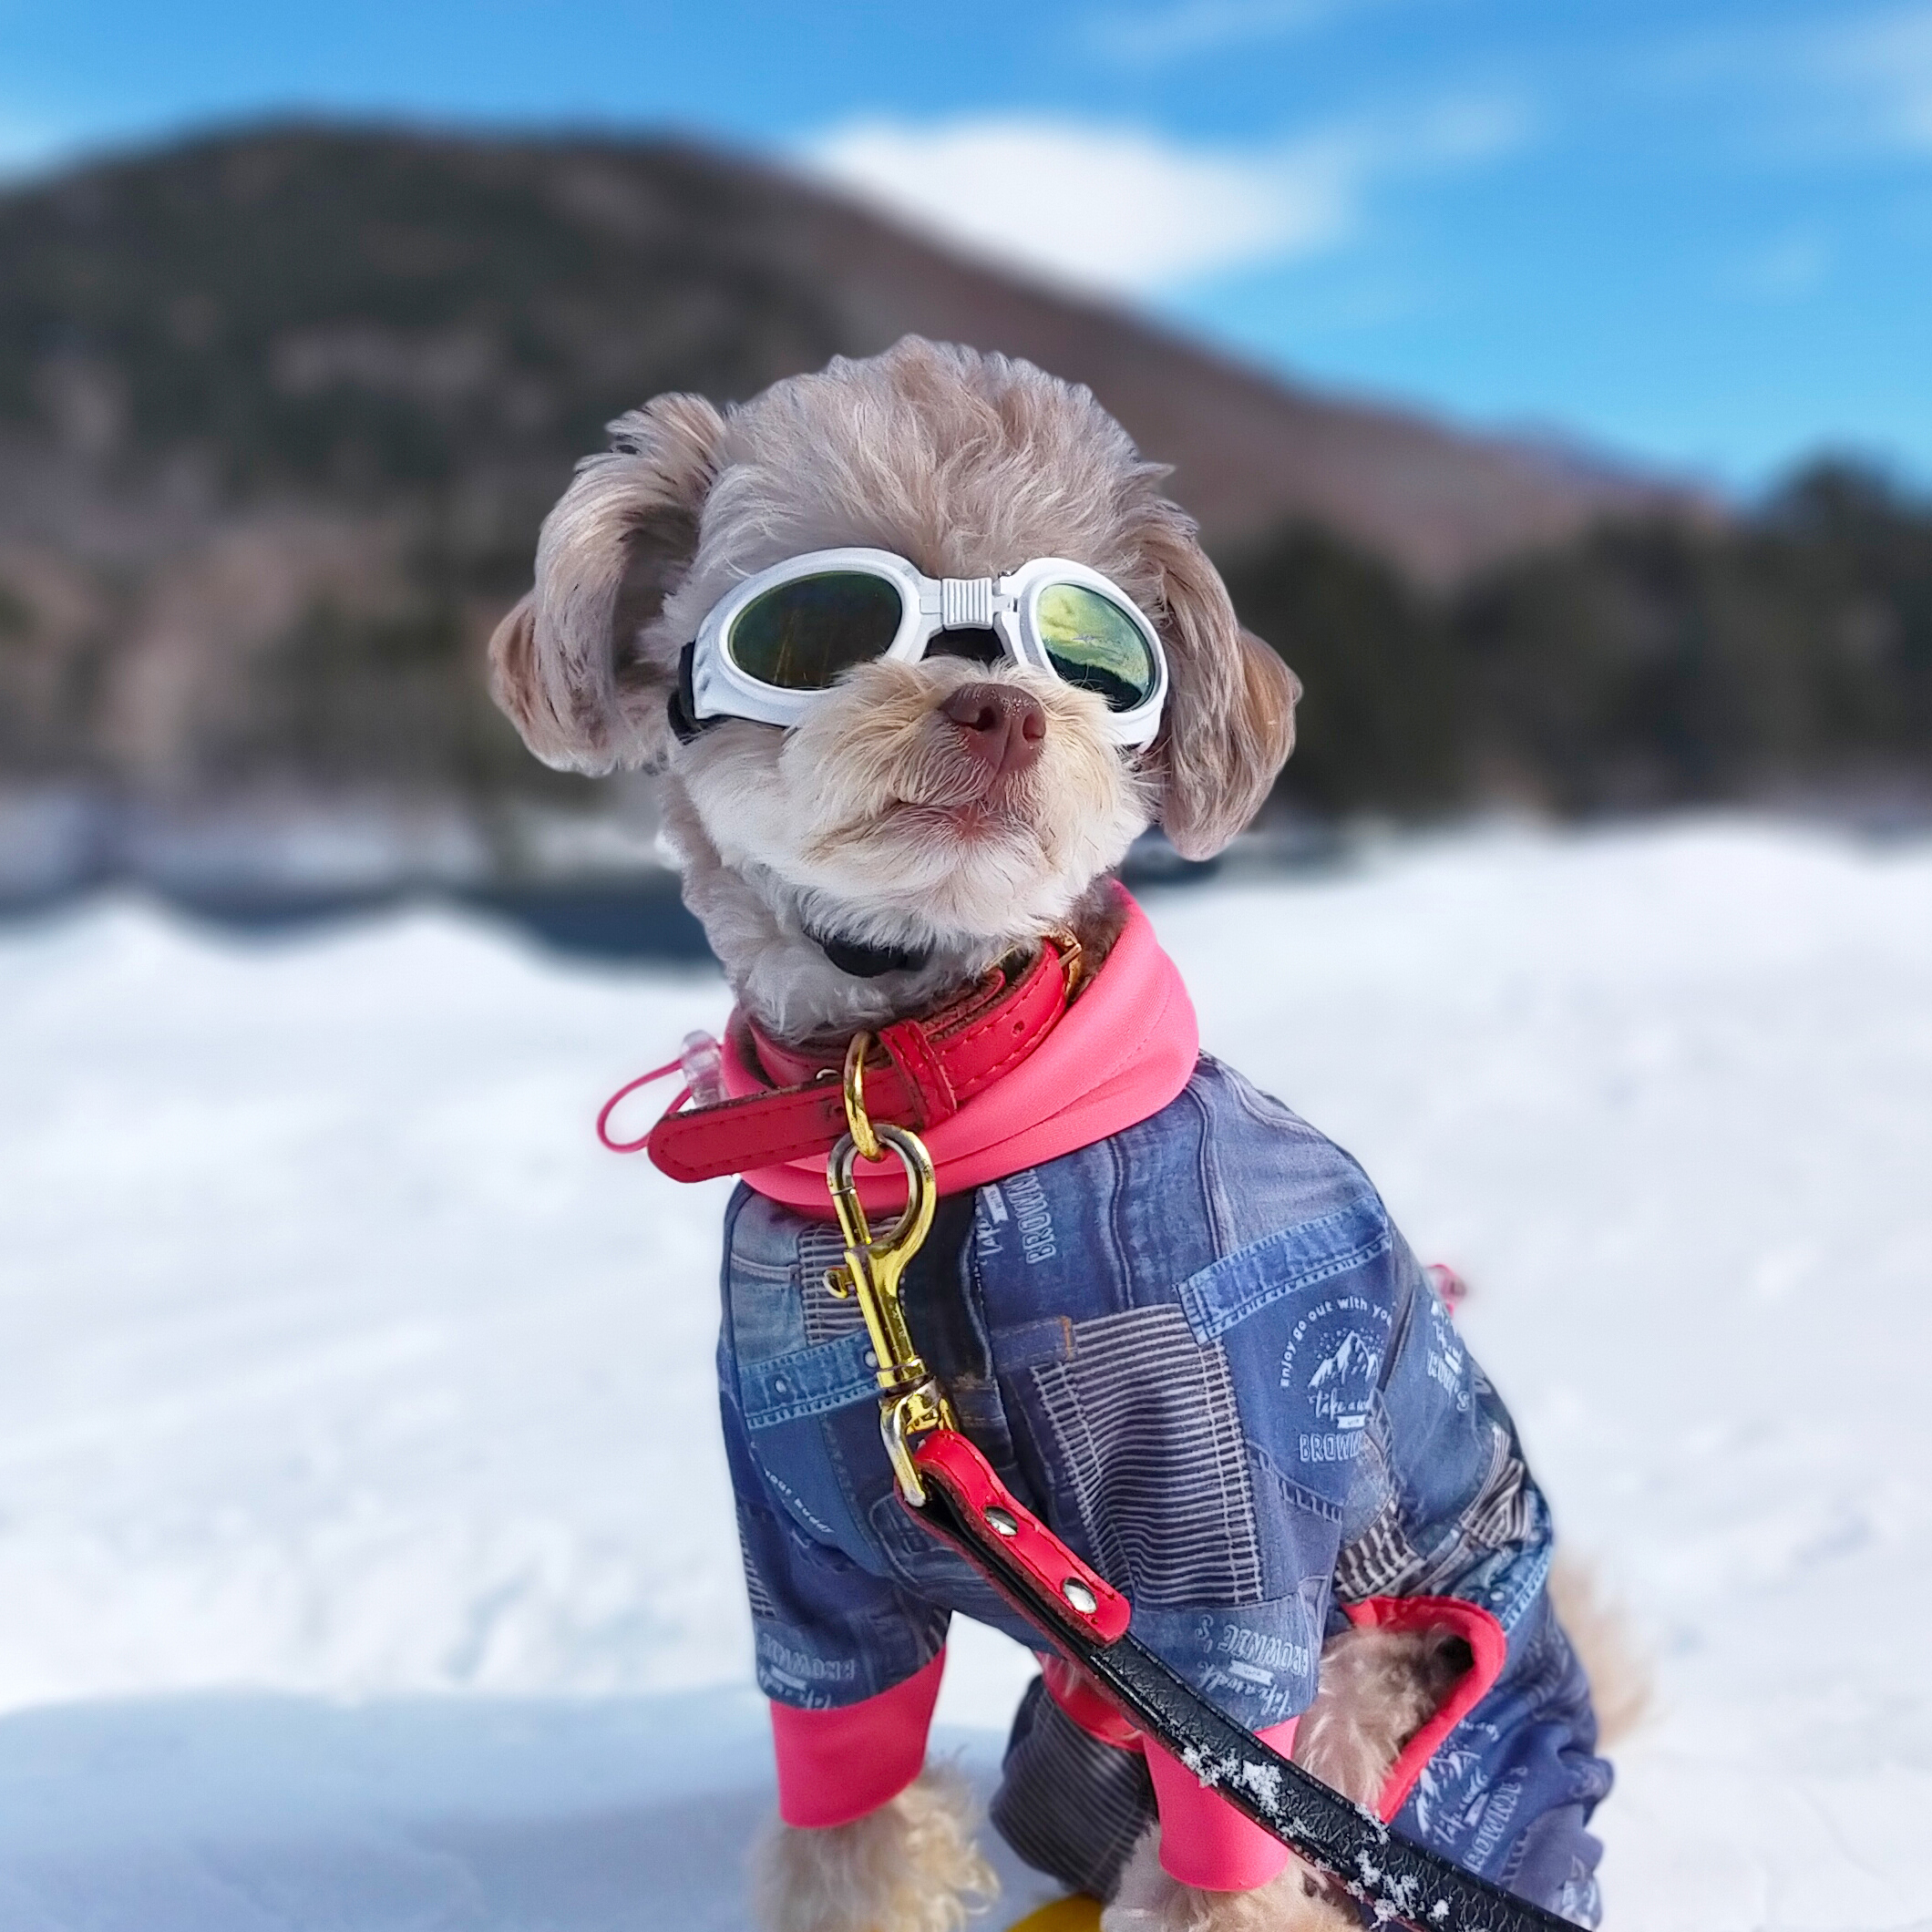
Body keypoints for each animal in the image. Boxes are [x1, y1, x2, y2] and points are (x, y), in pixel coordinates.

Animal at [490, 340, 1622, 1924]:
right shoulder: (810, 1572)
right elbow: (848, 1811)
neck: (923, 1098)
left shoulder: (1230, 1567)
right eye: (817, 622)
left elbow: (1224, 1857)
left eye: (1087, 648)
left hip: (1395, 1702)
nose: (1002, 711)